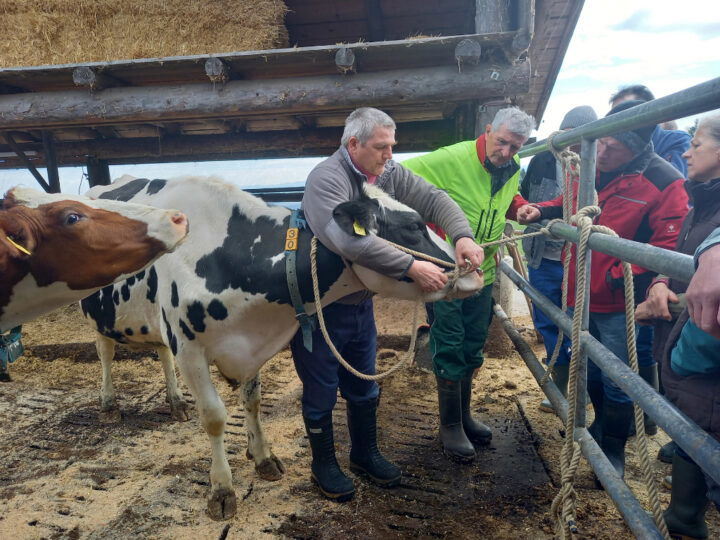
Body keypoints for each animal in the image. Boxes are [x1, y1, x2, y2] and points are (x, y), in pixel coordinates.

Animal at [80, 175, 484, 520]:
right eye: (414, 226)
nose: (474, 269)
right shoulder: (189, 347)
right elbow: (214, 417)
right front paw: (222, 490)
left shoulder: (251, 345)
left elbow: (253, 402)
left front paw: (262, 457)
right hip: (98, 311)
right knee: (105, 352)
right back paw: (109, 403)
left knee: (160, 353)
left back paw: (176, 402)